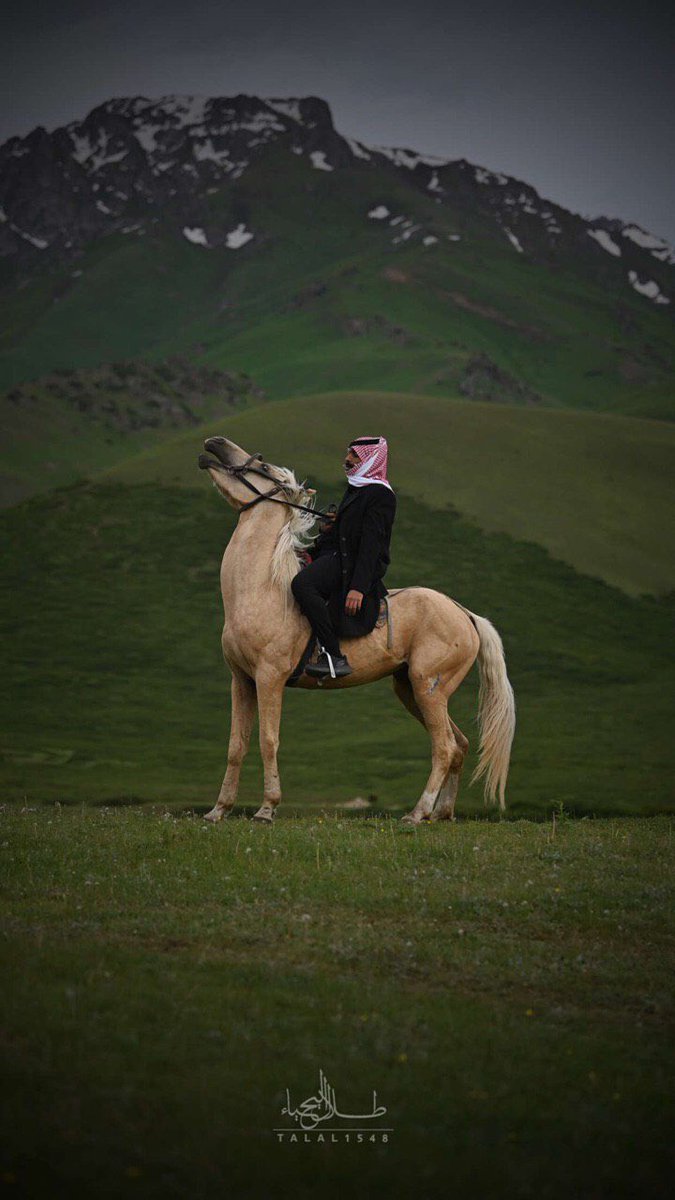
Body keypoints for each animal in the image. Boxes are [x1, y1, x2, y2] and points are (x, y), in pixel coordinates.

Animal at [196, 434, 511, 825]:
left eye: (264, 466)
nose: (214, 443)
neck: (261, 590)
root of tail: (465, 615)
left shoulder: (270, 677)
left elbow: (268, 740)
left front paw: (267, 809)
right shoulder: (241, 679)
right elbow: (235, 745)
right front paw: (218, 810)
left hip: (430, 688)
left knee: (444, 747)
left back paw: (417, 813)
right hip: (411, 689)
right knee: (460, 745)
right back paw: (441, 813)